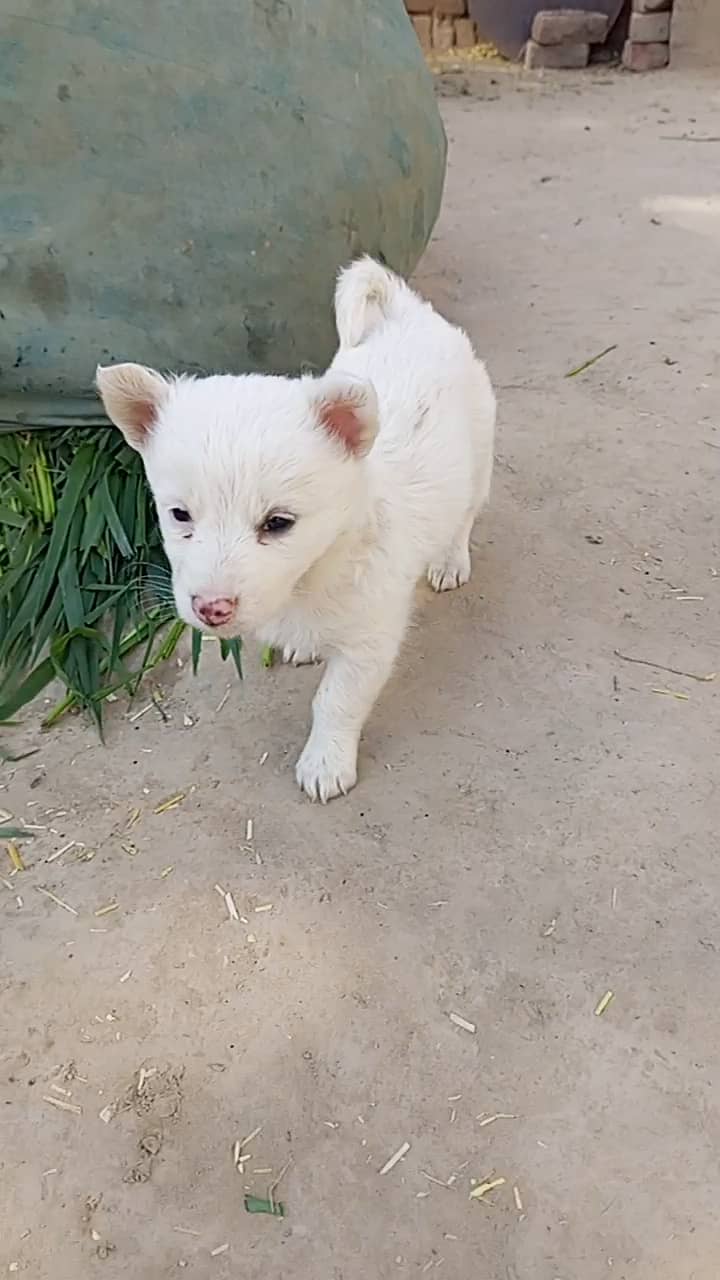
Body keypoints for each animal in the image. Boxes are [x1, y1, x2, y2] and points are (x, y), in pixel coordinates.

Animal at [96, 258, 491, 798]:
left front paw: (326, 762)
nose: (211, 610)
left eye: (279, 523)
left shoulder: (370, 639)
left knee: (465, 514)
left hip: (478, 459)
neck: (318, 566)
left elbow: (336, 701)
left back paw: (450, 560)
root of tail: (407, 313)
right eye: (180, 516)